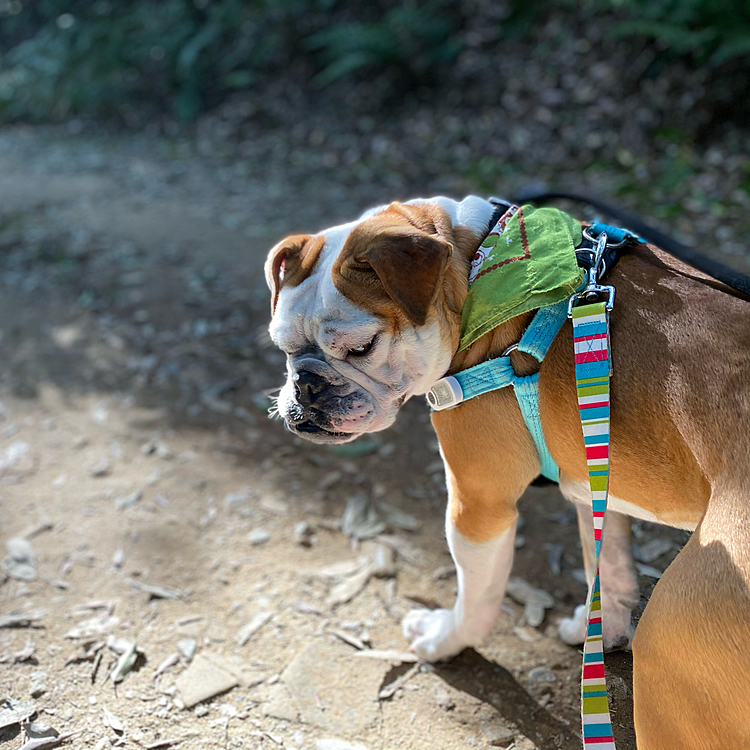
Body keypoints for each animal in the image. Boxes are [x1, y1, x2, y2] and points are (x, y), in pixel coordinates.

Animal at [264, 197, 750, 748]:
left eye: (362, 348)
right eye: (283, 346)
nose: (307, 385)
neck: (474, 266)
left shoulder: (478, 507)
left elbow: (476, 597)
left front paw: (446, 639)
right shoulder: (595, 476)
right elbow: (607, 562)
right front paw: (603, 627)